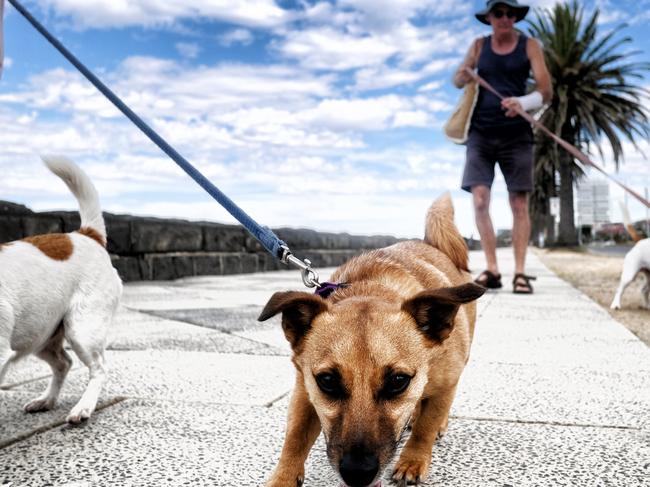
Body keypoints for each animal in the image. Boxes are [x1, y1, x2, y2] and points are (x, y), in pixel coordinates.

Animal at [0, 156, 121, 424]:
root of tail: (85, 234)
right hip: (40, 334)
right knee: (63, 363)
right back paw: (46, 400)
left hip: (82, 329)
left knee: (99, 368)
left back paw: (83, 407)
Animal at [260, 195, 484, 487]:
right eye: (327, 381)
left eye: (398, 381)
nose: (358, 473)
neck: (372, 289)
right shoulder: (304, 391)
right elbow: (295, 438)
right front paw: (283, 478)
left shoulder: (446, 384)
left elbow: (425, 427)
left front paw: (413, 459)